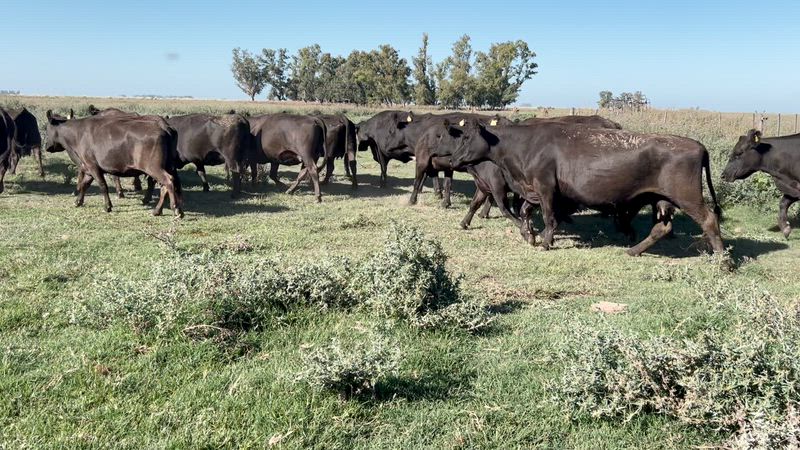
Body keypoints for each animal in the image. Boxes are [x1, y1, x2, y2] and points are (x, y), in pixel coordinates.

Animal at [44, 110, 183, 217]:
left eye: (46, 128)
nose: (46, 146)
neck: (78, 133)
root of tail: (164, 127)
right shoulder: (89, 168)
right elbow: (84, 184)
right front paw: (78, 201)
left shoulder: (93, 166)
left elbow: (102, 185)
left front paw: (107, 206)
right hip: (168, 166)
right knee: (166, 185)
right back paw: (158, 210)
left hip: (154, 167)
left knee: (168, 181)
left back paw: (175, 208)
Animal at [448, 119, 725, 257]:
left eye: (466, 138)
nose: (451, 160)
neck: (526, 145)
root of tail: (697, 145)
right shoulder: (532, 190)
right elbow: (525, 211)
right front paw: (529, 235)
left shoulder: (546, 188)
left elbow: (548, 217)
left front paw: (545, 242)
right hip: (659, 198)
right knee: (662, 228)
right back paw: (633, 251)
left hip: (688, 197)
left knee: (709, 220)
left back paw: (723, 261)